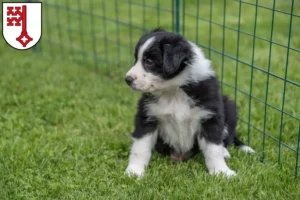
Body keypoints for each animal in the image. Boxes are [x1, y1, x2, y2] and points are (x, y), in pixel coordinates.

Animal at [123, 28, 253, 178]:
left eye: (149, 62)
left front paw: (221, 172)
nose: (127, 79)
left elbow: (213, 148)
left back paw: (224, 152)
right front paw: (134, 171)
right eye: (136, 59)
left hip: (229, 107)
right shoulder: (147, 116)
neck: (174, 90)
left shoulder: (210, 116)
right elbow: (140, 147)